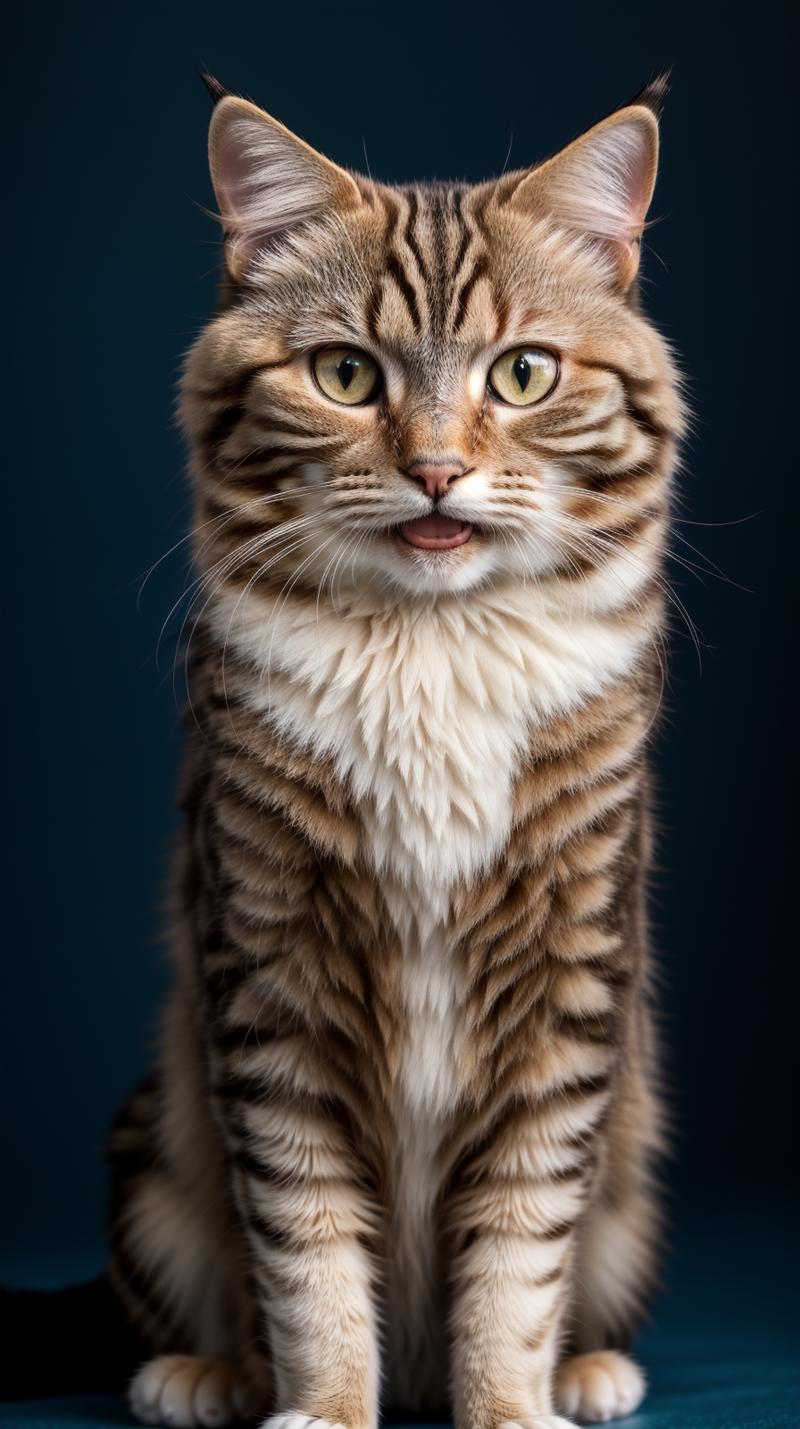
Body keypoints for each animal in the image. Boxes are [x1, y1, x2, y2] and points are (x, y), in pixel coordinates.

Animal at [112, 75, 685, 1429]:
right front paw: (319, 1406)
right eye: (343, 373)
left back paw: (587, 1371)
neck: (429, 646)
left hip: (635, 1180)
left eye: (522, 374)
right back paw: (206, 1373)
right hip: (155, 1152)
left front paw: (507, 1405)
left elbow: (518, 1253)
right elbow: (305, 1247)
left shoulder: (569, 988)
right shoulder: (266, 977)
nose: (433, 469)